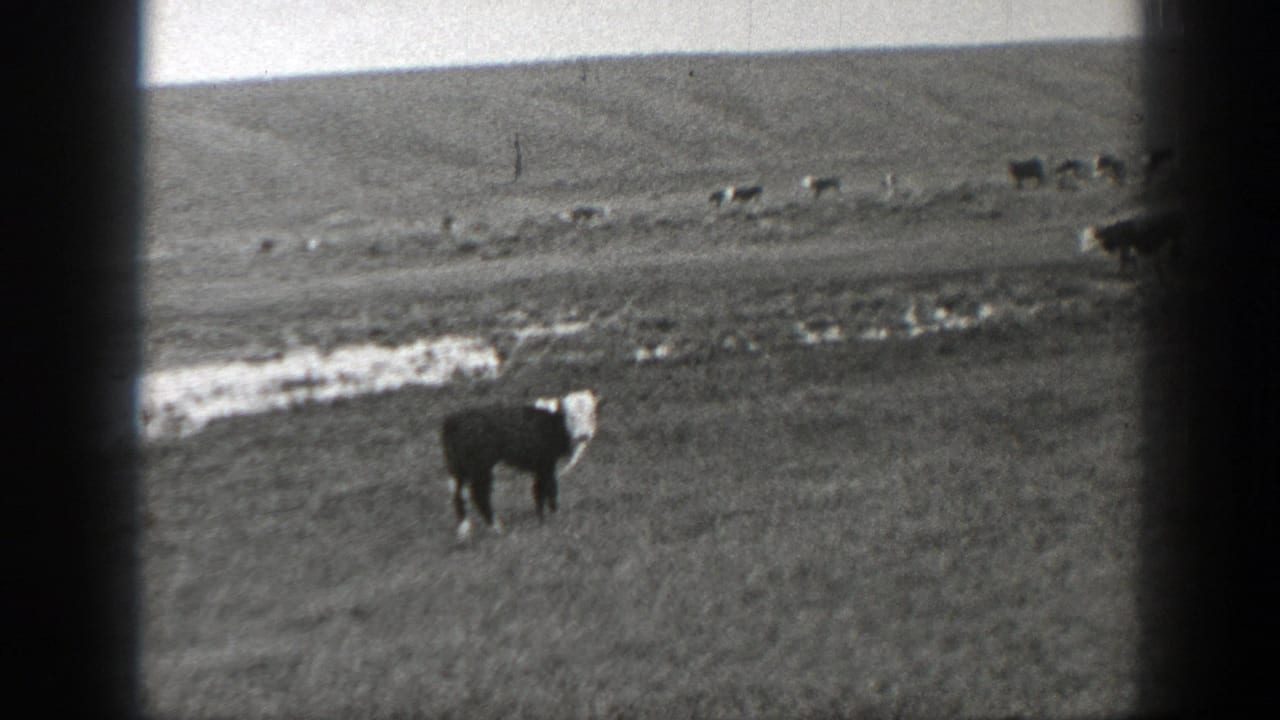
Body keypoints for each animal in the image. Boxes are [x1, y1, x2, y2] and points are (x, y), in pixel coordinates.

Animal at [441, 389, 600, 541]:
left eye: (591, 414)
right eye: (571, 416)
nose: (584, 435)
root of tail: (453, 420)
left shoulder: (540, 467)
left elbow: (538, 490)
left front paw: (541, 518)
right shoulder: (546, 464)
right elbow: (549, 489)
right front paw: (554, 515)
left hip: (460, 467)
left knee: (459, 494)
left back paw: (464, 530)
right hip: (481, 468)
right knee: (479, 495)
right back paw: (496, 527)